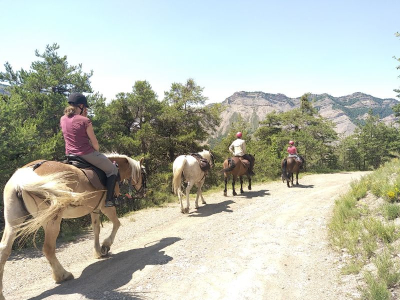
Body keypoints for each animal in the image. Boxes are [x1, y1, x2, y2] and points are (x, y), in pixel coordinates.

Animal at [0, 154, 146, 298]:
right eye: (144, 174)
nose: (143, 193)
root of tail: (22, 178)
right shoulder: (106, 207)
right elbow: (117, 224)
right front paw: (105, 246)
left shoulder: (94, 209)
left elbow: (96, 229)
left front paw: (98, 251)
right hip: (52, 220)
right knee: (48, 249)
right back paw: (62, 275)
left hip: (13, 222)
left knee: (4, 249)